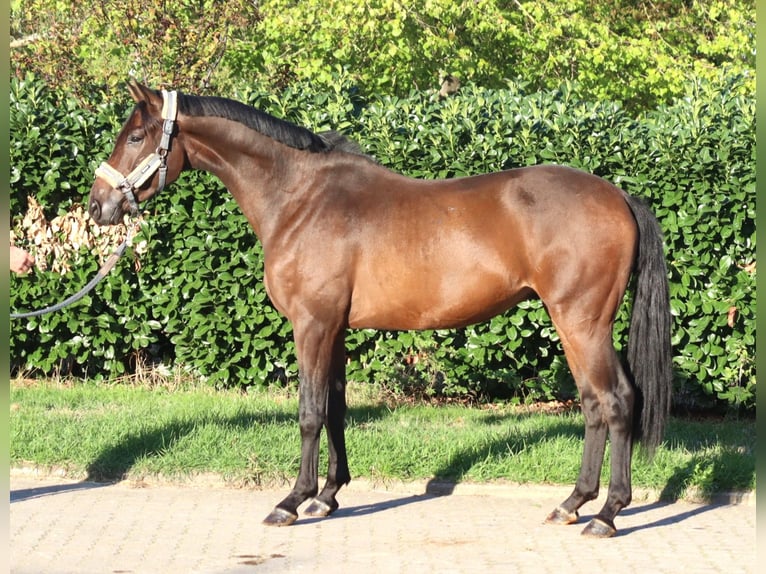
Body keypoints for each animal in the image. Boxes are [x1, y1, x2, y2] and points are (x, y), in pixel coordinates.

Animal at [88, 81, 671, 538]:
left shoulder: (312, 325)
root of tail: (618, 197)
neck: (300, 198)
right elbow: (336, 407)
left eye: (135, 136)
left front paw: (290, 502)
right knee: (594, 405)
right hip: (576, 324)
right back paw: (573, 504)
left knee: (615, 401)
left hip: (581, 321)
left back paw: (607, 514)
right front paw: (327, 496)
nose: (98, 206)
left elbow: (309, 412)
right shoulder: (335, 329)